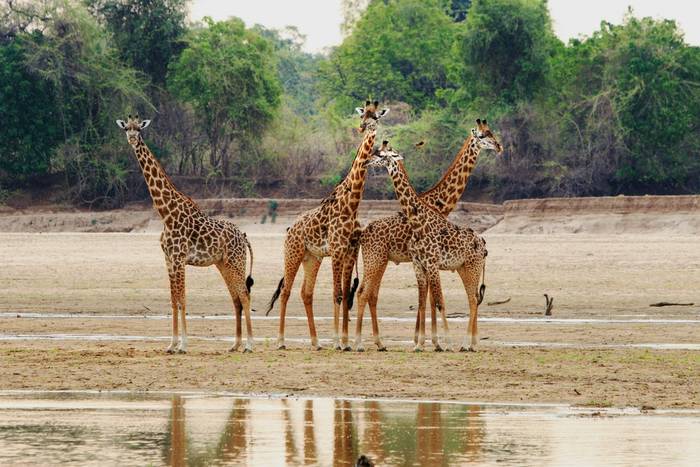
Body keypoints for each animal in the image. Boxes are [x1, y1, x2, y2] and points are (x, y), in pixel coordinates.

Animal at [116, 116, 254, 353]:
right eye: (126, 128)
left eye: (139, 129)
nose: (132, 139)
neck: (165, 213)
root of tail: (243, 236)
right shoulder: (169, 259)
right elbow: (174, 300)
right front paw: (171, 344)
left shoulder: (180, 259)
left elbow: (183, 300)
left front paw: (183, 345)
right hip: (223, 264)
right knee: (236, 298)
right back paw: (234, 345)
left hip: (237, 262)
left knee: (244, 296)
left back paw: (249, 345)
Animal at [265, 101, 389, 350]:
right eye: (363, 115)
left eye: (376, 118)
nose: (363, 128)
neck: (352, 204)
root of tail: (289, 229)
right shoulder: (337, 250)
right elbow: (337, 294)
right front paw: (338, 342)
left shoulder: (351, 250)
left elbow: (345, 293)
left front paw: (345, 341)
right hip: (292, 253)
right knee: (285, 291)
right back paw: (281, 341)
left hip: (312, 258)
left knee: (306, 293)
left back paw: (315, 342)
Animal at [355, 119, 502, 351]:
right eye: (483, 135)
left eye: (489, 133)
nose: (499, 146)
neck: (438, 203)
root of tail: (362, 233)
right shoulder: (422, 262)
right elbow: (429, 299)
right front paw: (428, 341)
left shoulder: (428, 263)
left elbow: (430, 299)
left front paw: (429, 341)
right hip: (376, 259)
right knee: (364, 293)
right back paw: (359, 342)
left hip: (381, 261)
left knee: (371, 294)